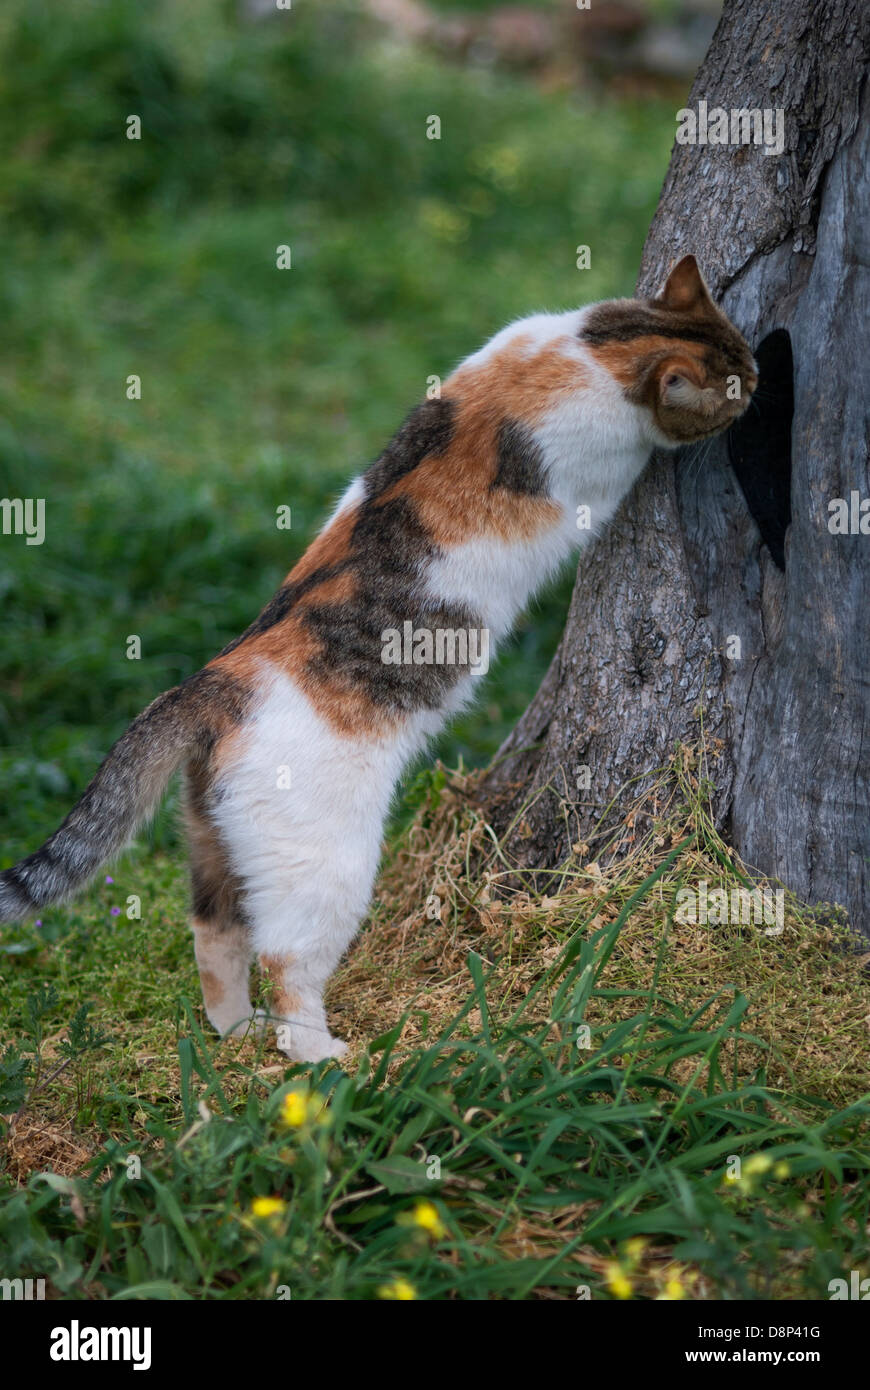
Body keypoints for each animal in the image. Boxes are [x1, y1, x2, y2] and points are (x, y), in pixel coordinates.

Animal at [0, 258, 750, 1061]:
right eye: (738, 384)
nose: (766, 378)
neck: (595, 346)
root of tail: (212, 683)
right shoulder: (603, 459)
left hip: (212, 844)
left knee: (213, 933)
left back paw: (235, 1033)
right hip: (325, 869)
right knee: (285, 962)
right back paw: (321, 1055)